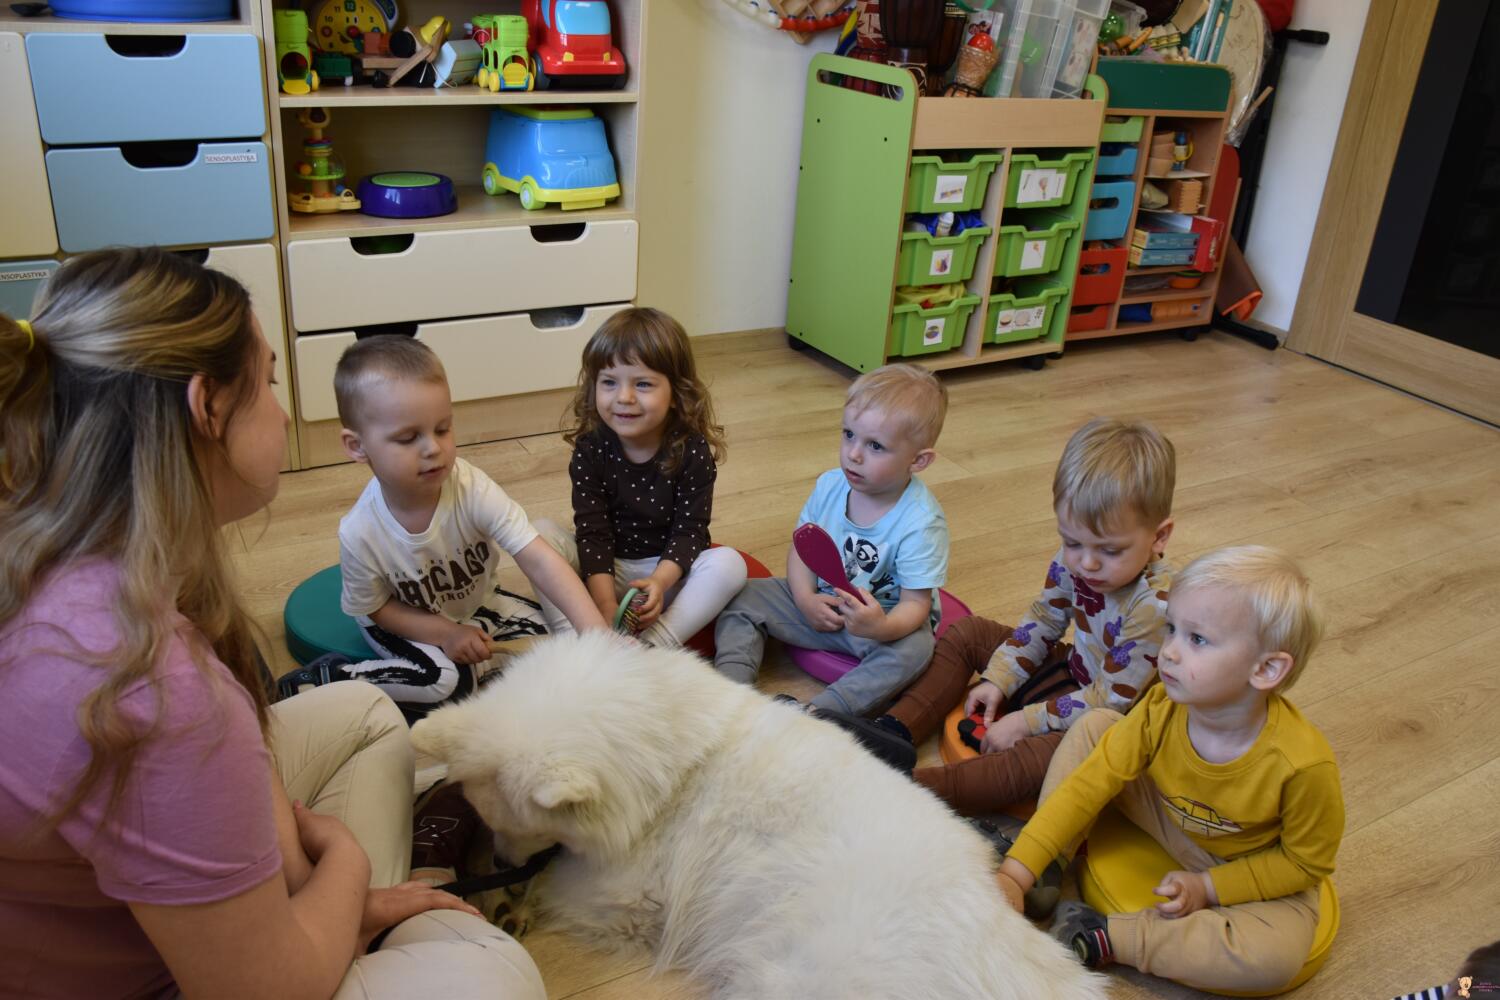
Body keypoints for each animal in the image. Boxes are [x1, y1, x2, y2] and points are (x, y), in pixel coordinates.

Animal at [411, 631, 1109, 1000]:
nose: (500, 861)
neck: (671, 762)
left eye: (522, 827)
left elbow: (562, 882)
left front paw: (509, 900)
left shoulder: (628, 890)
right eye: (490, 821)